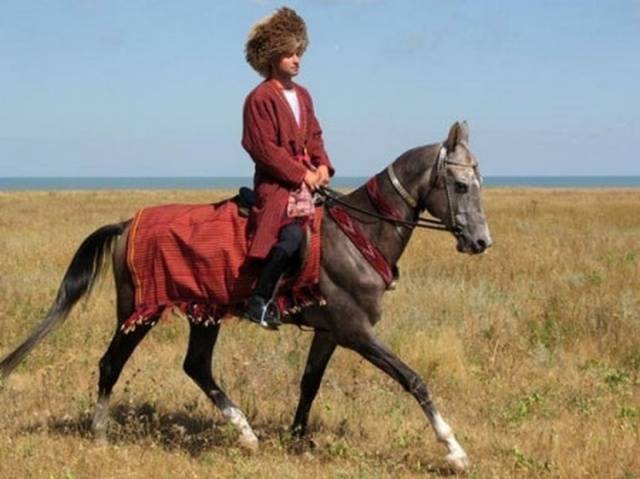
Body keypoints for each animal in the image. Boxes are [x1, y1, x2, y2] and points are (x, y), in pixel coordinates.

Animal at [0, 120, 490, 472]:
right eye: (461, 186)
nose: (481, 242)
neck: (359, 234)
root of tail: (126, 224)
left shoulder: (330, 332)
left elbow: (309, 382)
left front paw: (297, 438)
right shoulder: (356, 332)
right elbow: (413, 379)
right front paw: (455, 450)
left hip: (203, 312)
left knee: (196, 365)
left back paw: (245, 432)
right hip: (140, 310)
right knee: (111, 363)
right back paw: (101, 433)